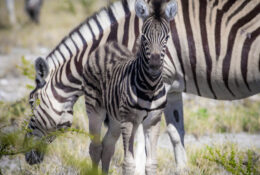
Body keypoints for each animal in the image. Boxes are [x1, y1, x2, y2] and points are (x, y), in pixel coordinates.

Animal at [24, 0, 260, 173]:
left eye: (32, 102)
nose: (27, 156)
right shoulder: (172, 89)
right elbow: (176, 134)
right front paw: (182, 169)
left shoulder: (154, 88)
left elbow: (138, 143)